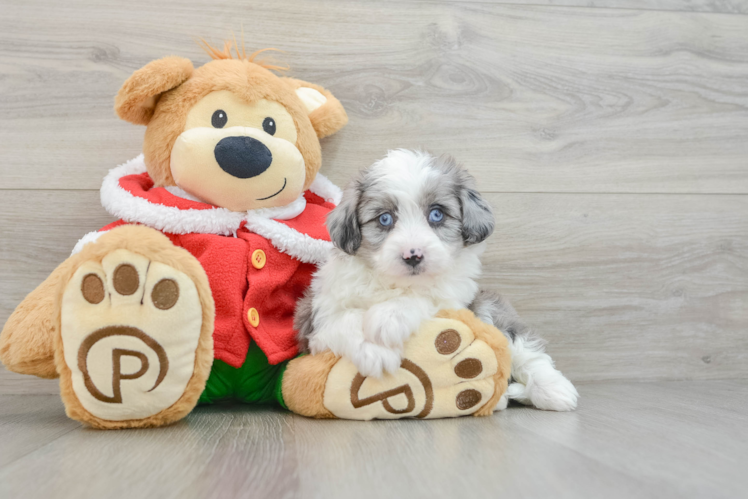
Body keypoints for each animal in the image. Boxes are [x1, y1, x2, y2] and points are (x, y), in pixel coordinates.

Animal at [296, 150, 580, 412]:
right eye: (385, 218)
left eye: (436, 214)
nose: (412, 255)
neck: (395, 284)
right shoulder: (314, 320)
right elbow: (344, 319)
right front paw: (375, 350)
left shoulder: (455, 299)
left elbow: (423, 298)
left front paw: (389, 317)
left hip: (489, 306)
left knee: (525, 350)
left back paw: (553, 390)